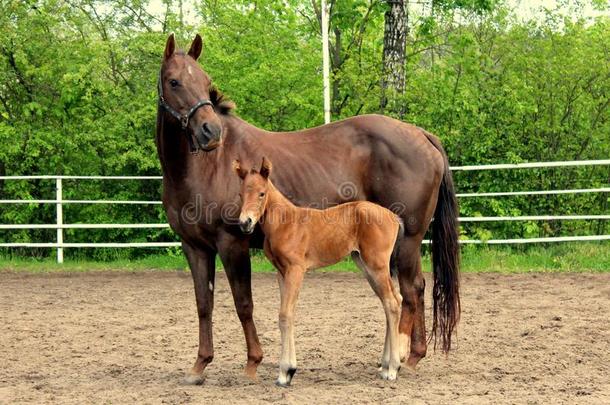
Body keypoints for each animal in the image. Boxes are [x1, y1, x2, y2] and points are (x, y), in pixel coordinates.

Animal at [233, 157, 404, 386]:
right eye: (241, 194)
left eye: (261, 193)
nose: (245, 223)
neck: (285, 222)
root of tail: (394, 217)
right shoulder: (281, 273)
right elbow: (287, 314)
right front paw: (287, 372)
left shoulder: (296, 269)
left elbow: (285, 314)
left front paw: (286, 372)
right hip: (365, 265)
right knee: (392, 301)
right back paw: (385, 366)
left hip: (377, 265)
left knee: (392, 303)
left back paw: (392, 369)